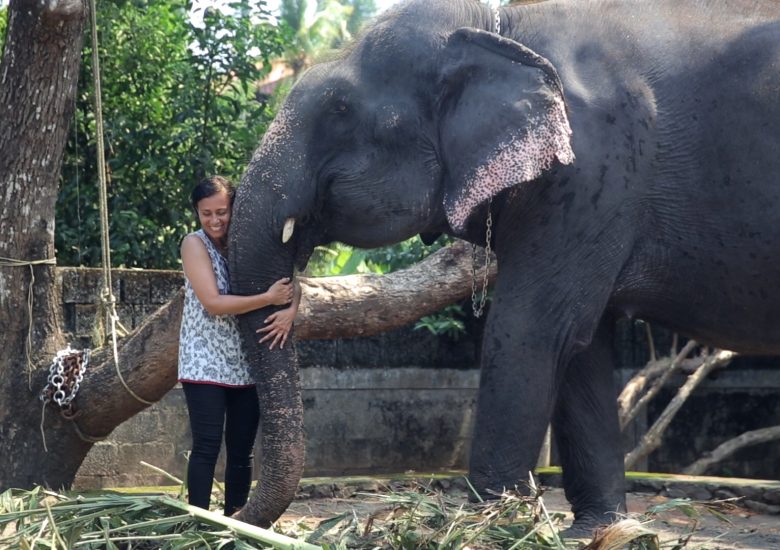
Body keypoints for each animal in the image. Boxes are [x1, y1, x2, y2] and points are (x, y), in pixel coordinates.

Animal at [229, 0, 780, 536]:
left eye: (339, 109)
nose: (231, 518)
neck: (497, 25)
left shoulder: (591, 172)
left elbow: (529, 330)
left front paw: (485, 527)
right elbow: (581, 345)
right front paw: (597, 531)